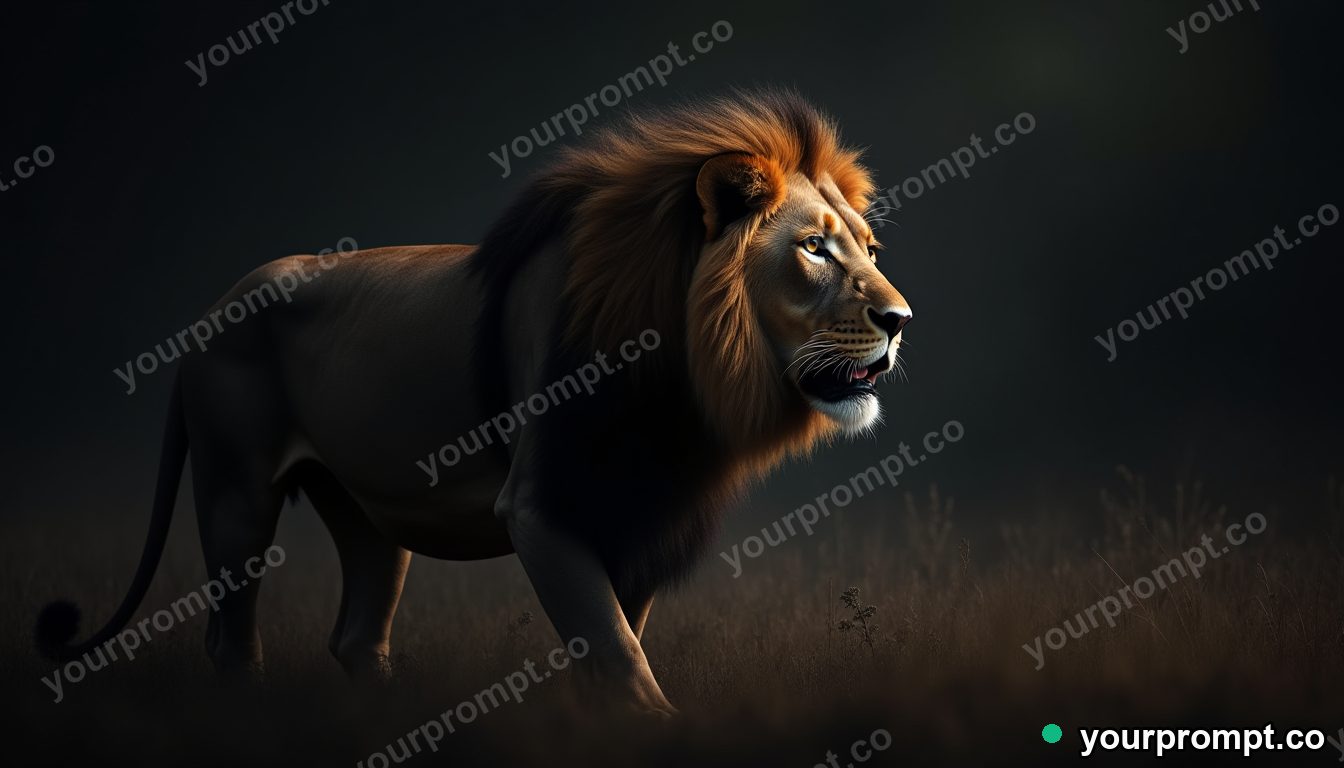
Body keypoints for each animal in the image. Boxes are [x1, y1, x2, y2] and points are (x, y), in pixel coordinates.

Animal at [37, 90, 911, 716]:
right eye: (813, 248)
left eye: (869, 249)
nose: (900, 321)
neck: (686, 385)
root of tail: (209, 313)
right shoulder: (542, 506)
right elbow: (618, 654)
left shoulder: (637, 510)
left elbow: (614, 644)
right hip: (235, 492)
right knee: (229, 639)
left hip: (366, 513)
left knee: (355, 637)